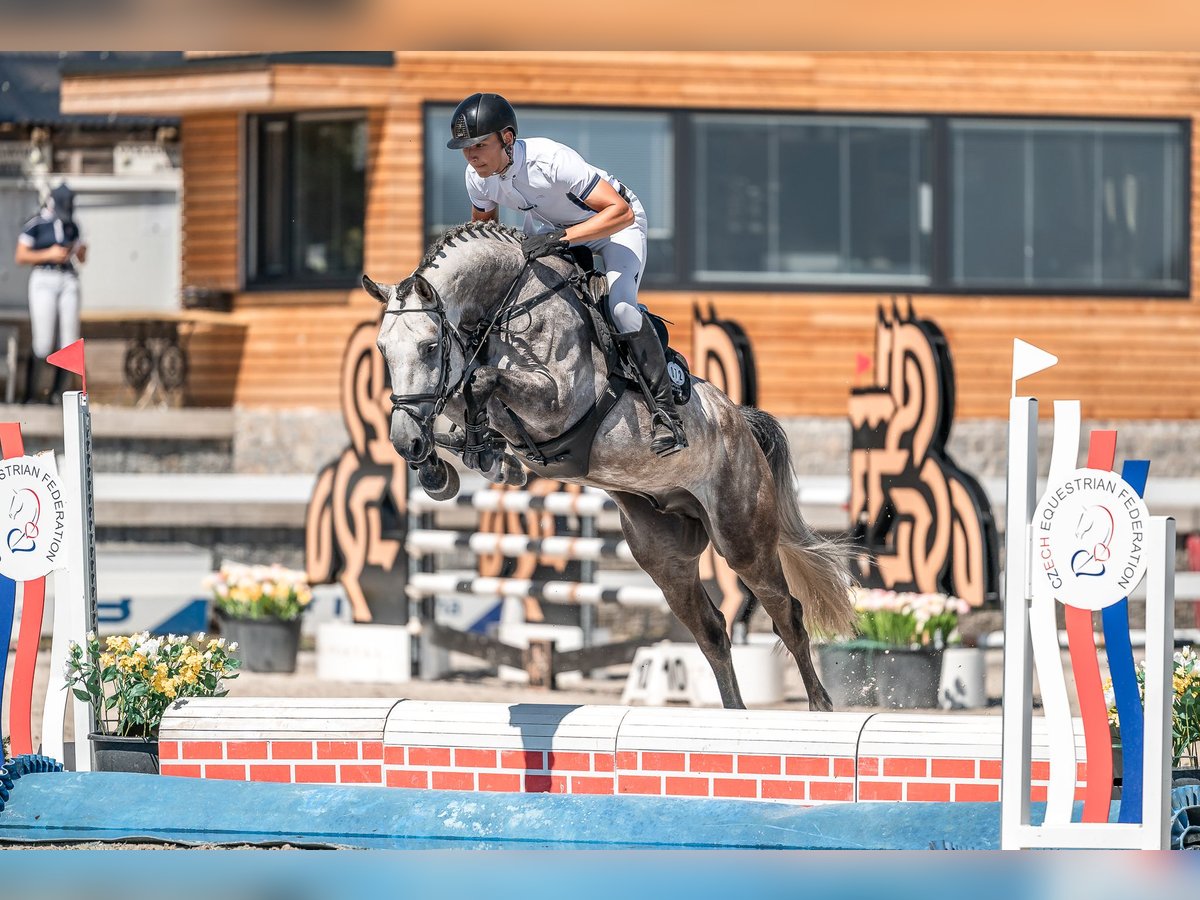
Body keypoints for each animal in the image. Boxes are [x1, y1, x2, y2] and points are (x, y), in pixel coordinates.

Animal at [369, 220, 859, 710]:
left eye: (430, 346)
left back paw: (819, 709)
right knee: (712, 631)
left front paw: (473, 453)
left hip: (742, 539)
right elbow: (459, 392)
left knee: (787, 615)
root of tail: (740, 420)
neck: (507, 304)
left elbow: (480, 380)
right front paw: (456, 463)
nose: (405, 444)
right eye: (383, 350)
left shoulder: (557, 403)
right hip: (665, 556)